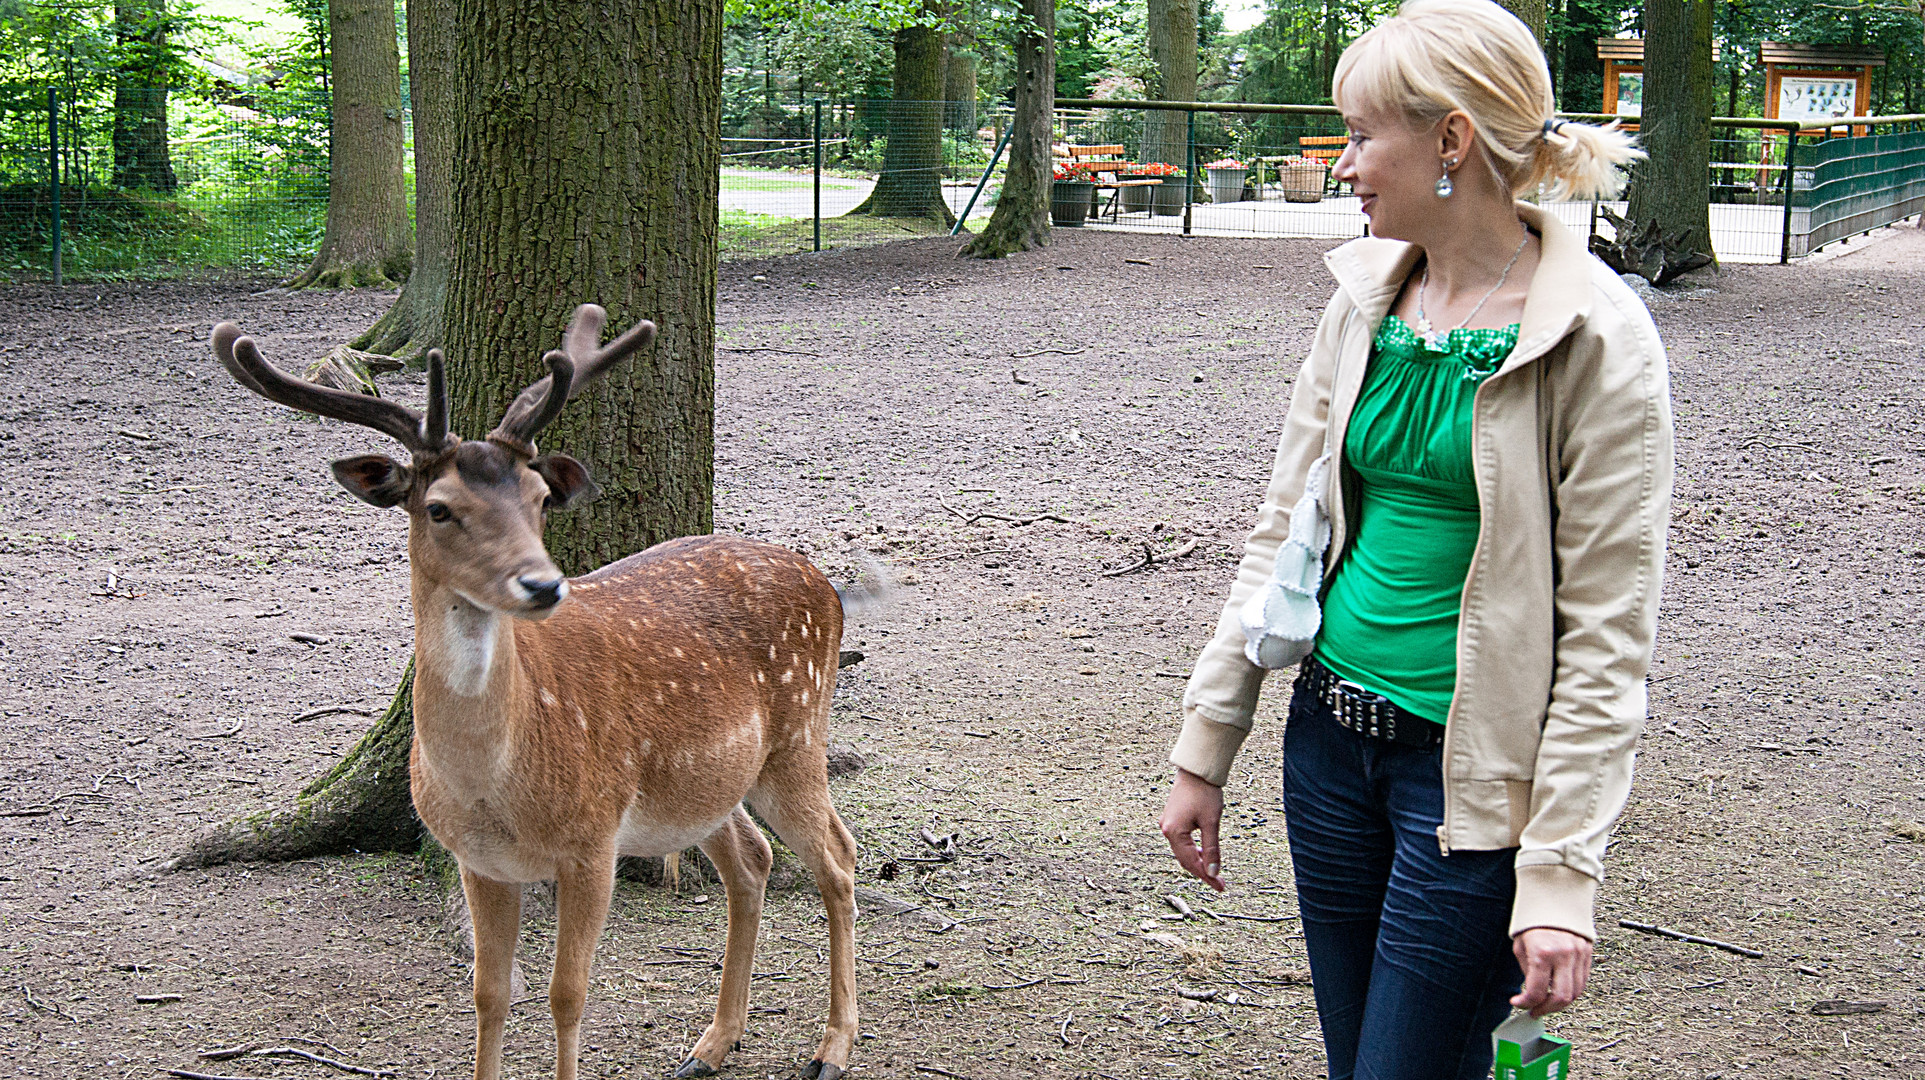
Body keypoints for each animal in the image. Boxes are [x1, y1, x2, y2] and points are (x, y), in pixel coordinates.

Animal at [208, 304, 858, 1078]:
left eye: (541, 497)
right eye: (438, 508)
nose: (544, 585)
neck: (495, 787)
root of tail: (822, 580)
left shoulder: (593, 839)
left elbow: (566, 994)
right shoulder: (477, 860)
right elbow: (489, 993)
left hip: (798, 735)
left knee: (840, 859)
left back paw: (833, 1047)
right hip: (706, 782)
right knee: (753, 862)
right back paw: (711, 1044)